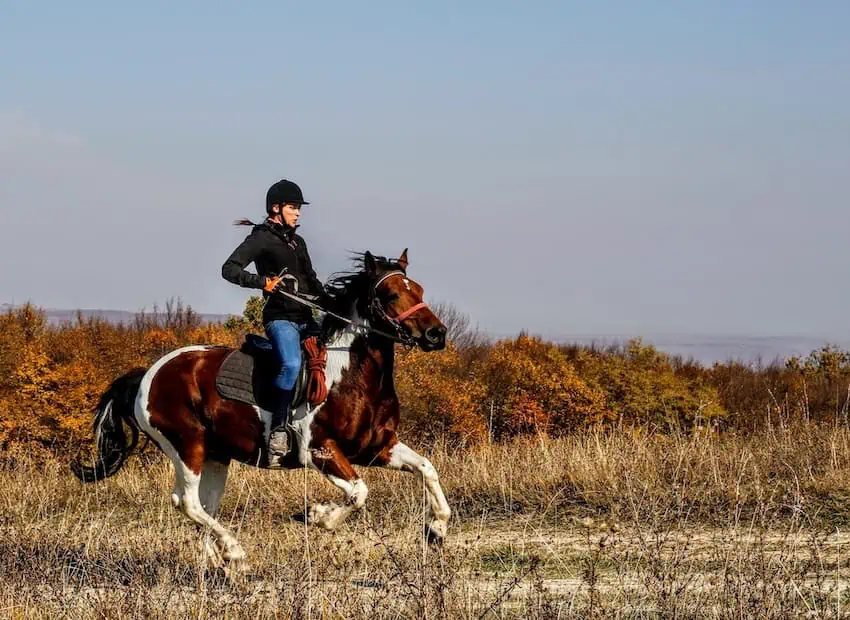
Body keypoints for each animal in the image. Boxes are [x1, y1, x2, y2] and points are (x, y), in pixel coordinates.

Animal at [71, 251, 450, 568]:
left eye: (418, 289)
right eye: (391, 295)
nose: (437, 334)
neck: (351, 373)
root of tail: (148, 374)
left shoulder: (378, 447)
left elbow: (427, 469)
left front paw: (437, 530)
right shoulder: (320, 450)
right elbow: (359, 493)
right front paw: (317, 515)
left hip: (216, 455)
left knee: (203, 506)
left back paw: (218, 562)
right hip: (186, 446)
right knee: (188, 502)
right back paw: (235, 554)